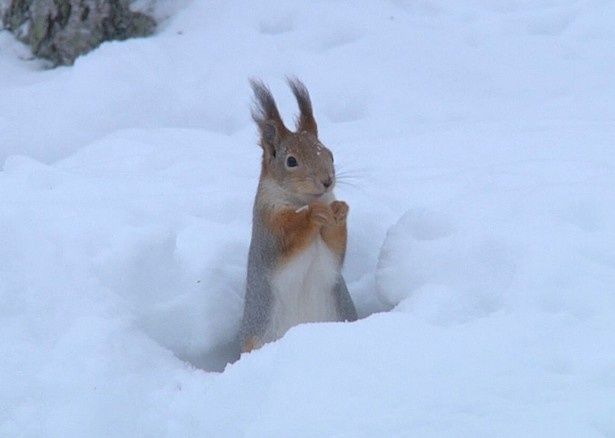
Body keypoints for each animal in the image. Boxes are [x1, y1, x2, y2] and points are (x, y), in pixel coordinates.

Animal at [239, 78, 358, 352]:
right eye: (291, 161)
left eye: (330, 154)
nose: (327, 181)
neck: (301, 201)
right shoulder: (270, 230)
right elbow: (289, 236)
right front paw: (314, 214)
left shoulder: (331, 256)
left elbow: (337, 247)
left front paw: (340, 211)